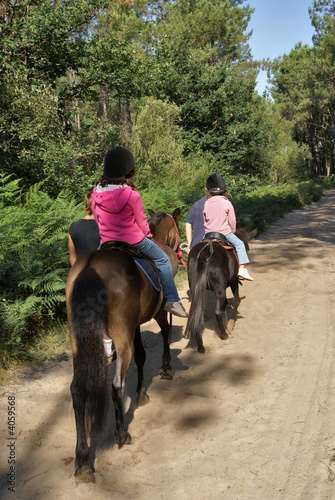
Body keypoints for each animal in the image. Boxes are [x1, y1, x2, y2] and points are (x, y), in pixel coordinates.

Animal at [65, 239, 178, 484]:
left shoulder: (135, 323)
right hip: (122, 334)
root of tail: (90, 265)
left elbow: (141, 355)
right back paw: (122, 434)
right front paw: (164, 369)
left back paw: (83, 461)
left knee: (77, 390)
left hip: (77, 340)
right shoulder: (155, 313)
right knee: (117, 385)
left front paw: (142, 392)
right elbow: (160, 338)